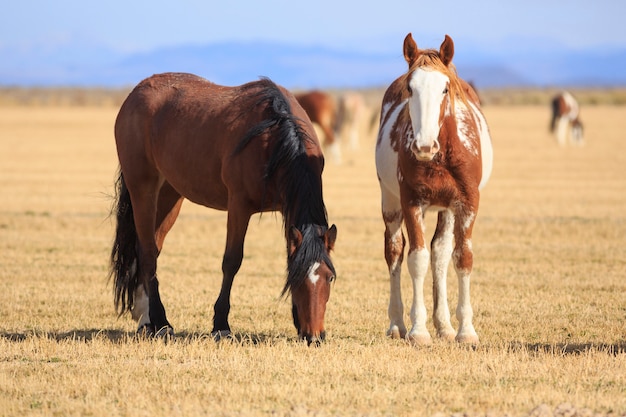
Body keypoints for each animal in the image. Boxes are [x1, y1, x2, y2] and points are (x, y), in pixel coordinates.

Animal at [111, 72, 336, 344]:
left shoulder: (287, 208)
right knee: (147, 253)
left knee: (151, 247)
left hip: (169, 194)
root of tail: (136, 91)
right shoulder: (239, 206)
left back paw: (146, 319)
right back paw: (161, 321)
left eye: (330, 277)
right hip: (142, 188)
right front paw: (221, 325)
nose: (315, 336)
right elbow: (232, 261)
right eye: (301, 279)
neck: (274, 139)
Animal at [372, 33, 490, 344]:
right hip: (390, 203)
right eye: (410, 88)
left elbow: (462, 258)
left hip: (446, 209)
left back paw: (445, 325)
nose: (424, 145)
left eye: (445, 88)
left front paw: (465, 331)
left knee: (441, 253)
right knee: (395, 251)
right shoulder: (412, 202)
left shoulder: (467, 204)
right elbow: (417, 259)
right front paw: (418, 330)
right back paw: (397, 324)